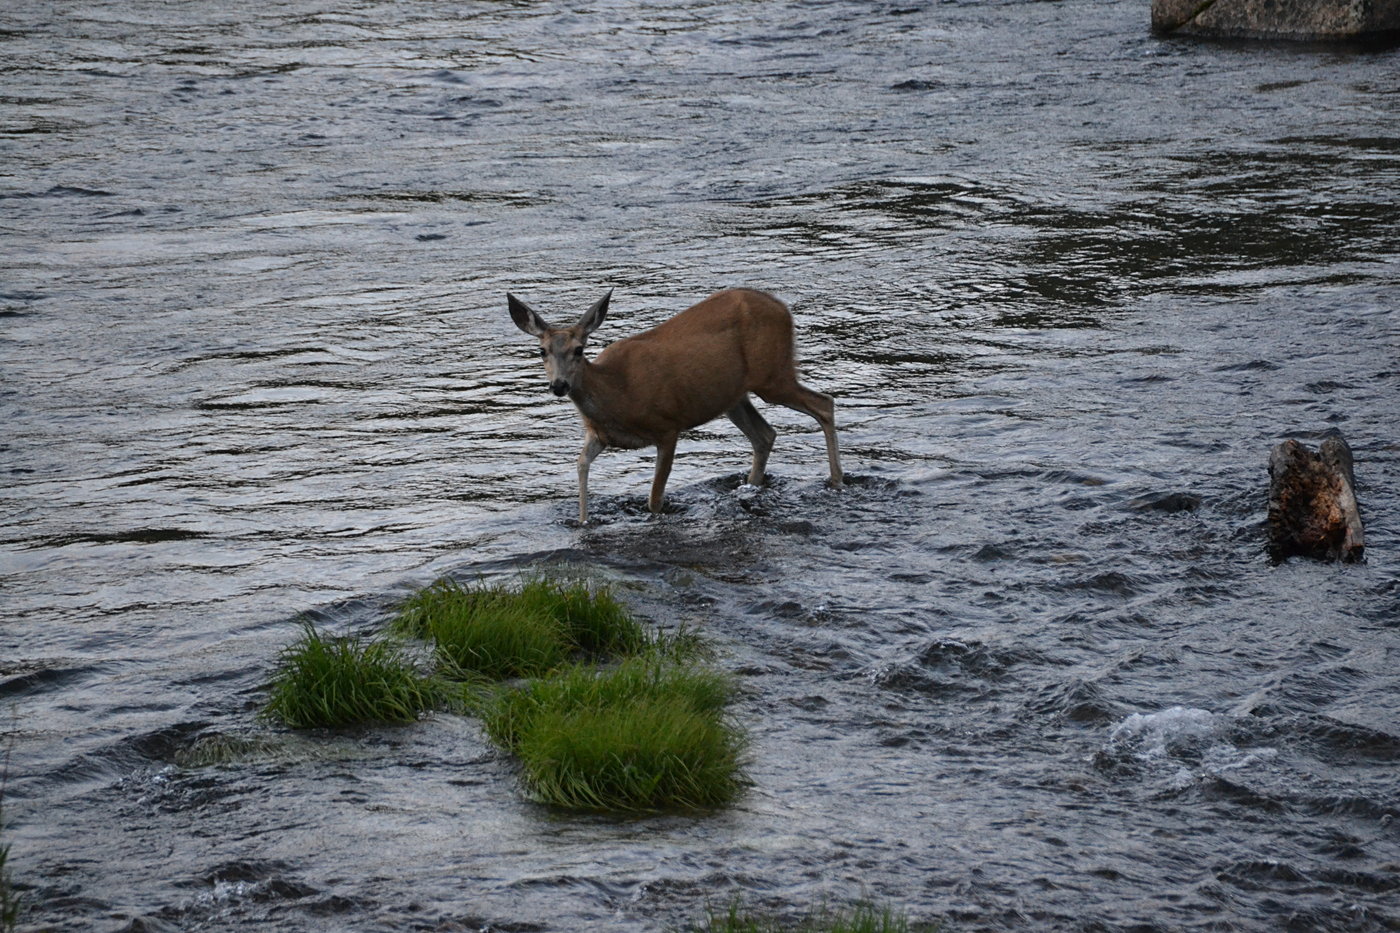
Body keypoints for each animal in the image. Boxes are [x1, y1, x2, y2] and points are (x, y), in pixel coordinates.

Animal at [509, 288, 845, 523]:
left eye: (579, 350)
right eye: (542, 351)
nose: (559, 385)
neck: (616, 394)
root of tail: (784, 309)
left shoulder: (668, 426)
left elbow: (655, 499)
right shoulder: (598, 436)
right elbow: (580, 467)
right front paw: (583, 523)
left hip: (773, 375)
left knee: (824, 403)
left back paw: (837, 482)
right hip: (734, 396)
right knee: (765, 434)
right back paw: (752, 487)